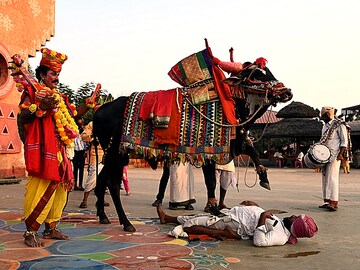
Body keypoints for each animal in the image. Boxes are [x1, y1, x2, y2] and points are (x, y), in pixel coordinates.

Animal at [93, 41, 292, 231]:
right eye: (257, 74)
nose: (287, 92)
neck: (233, 106)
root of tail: (100, 110)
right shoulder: (209, 154)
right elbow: (211, 182)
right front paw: (214, 209)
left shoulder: (236, 144)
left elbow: (253, 152)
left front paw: (264, 179)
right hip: (115, 153)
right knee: (112, 183)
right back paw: (126, 222)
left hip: (116, 155)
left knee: (102, 180)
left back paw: (103, 216)